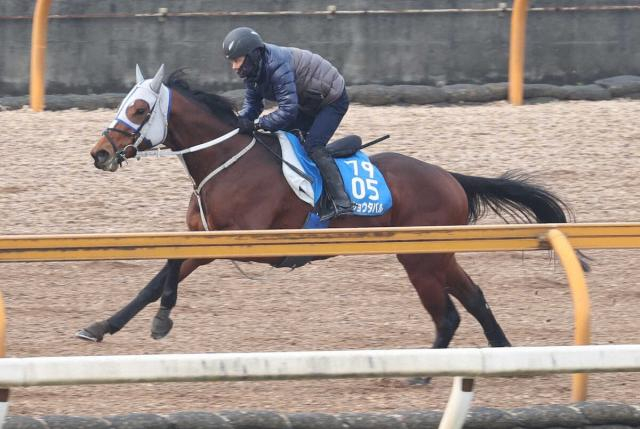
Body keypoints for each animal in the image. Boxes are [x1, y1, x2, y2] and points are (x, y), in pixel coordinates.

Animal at [81, 63, 584, 352]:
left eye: (141, 109)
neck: (226, 160)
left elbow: (168, 273)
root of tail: (449, 176)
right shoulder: (203, 235)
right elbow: (157, 277)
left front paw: (162, 320)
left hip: (421, 256)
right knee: (474, 297)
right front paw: (102, 325)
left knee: (450, 310)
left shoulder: (243, 243)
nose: (100, 152)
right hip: (436, 254)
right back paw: (501, 350)